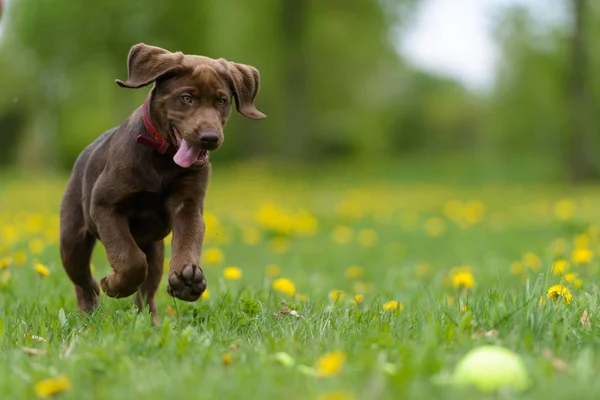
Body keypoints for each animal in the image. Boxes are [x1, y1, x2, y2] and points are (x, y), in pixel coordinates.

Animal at [60, 43, 264, 322]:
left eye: (222, 101)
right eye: (187, 98)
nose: (210, 137)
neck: (163, 158)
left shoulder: (188, 206)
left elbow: (187, 241)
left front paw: (187, 280)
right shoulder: (105, 206)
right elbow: (129, 259)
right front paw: (114, 284)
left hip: (154, 249)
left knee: (148, 288)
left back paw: (150, 319)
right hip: (73, 239)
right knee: (83, 280)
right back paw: (88, 313)